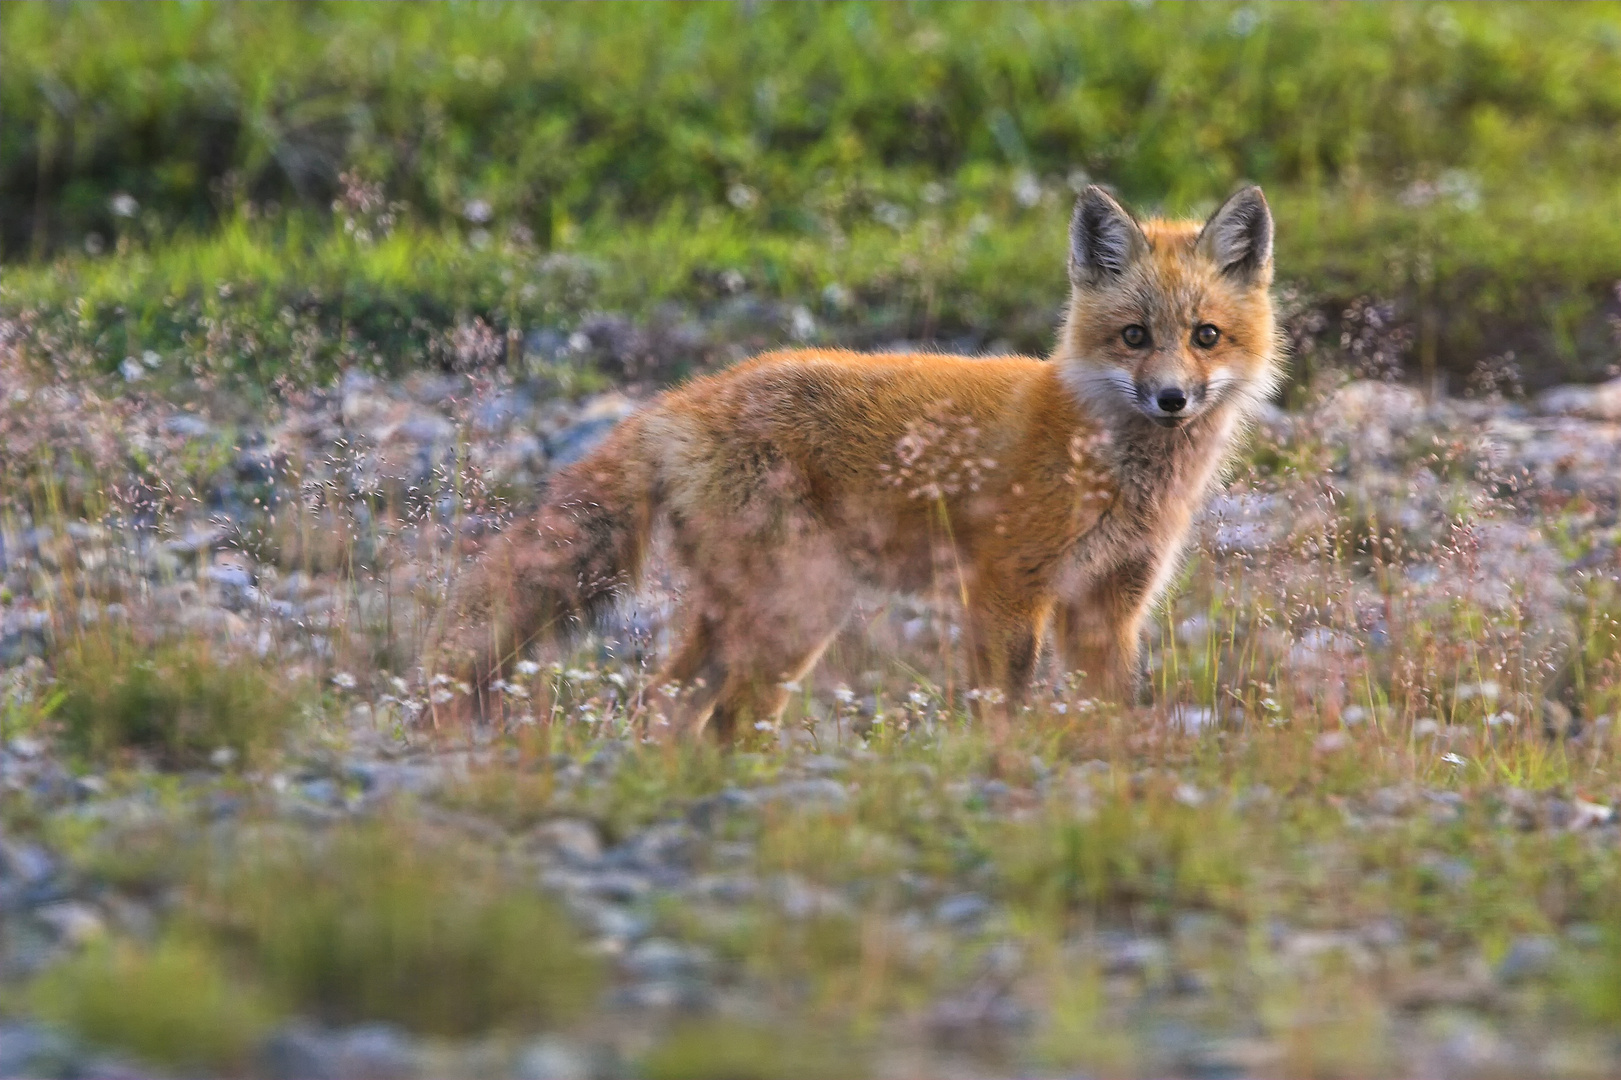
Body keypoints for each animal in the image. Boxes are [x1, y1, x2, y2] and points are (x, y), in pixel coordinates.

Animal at [447, 188, 1277, 736]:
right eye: (1134, 336)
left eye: (1204, 336)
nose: (1171, 399)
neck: (1108, 462)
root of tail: (682, 398)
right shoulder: (1006, 590)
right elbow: (1000, 711)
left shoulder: (1108, 607)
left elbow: (1106, 718)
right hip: (799, 609)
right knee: (726, 718)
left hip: (757, 615)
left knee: (669, 702)